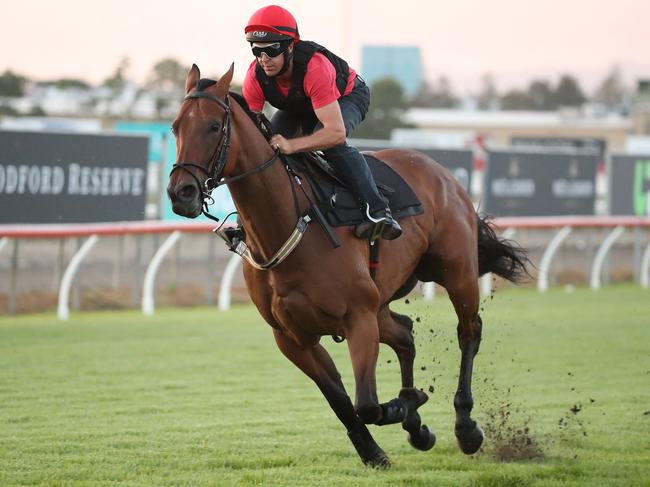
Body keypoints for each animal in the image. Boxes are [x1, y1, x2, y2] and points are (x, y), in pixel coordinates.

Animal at [167, 65, 528, 468]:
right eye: (175, 126)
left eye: (214, 126)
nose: (180, 192)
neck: (289, 223)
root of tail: (441, 172)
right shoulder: (292, 337)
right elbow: (341, 401)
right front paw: (378, 445)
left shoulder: (358, 318)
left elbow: (366, 403)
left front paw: (403, 406)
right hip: (384, 298)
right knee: (404, 333)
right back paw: (417, 425)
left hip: (456, 272)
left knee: (469, 332)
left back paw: (465, 427)